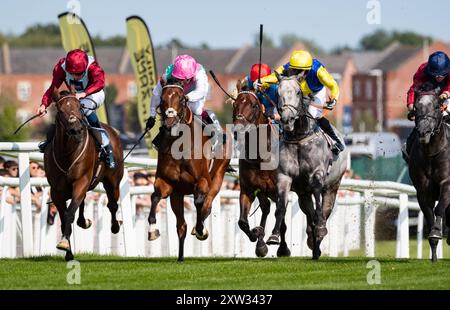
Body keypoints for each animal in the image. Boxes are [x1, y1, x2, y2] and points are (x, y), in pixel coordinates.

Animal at [43, 90, 123, 262]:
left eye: (79, 108)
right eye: (61, 111)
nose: (76, 130)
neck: (67, 154)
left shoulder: (81, 181)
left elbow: (69, 213)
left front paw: (65, 245)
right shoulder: (57, 191)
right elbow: (64, 216)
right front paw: (67, 250)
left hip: (112, 181)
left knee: (112, 204)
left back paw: (115, 226)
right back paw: (84, 221)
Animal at [148, 79, 232, 260]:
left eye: (181, 99)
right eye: (162, 99)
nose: (170, 123)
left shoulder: (203, 181)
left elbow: (200, 202)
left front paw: (200, 229)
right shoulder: (167, 183)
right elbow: (156, 196)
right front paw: (152, 230)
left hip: (218, 177)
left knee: (207, 204)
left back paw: (200, 228)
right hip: (177, 195)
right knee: (182, 225)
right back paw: (180, 257)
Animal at [232, 81, 292, 258]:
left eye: (254, 106)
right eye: (235, 104)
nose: (237, 131)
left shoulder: (279, 190)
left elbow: (281, 217)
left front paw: (281, 246)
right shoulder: (248, 189)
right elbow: (242, 222)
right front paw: (257, 235)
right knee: (265, 208)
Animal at [268, 75, 348, 260]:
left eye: (298, 92)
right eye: (278, 92)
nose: (287, 119)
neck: (299, 138)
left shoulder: (317, 175)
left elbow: (319, 206)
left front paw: (320, 230)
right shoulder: (284, 177)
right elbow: (281, 207)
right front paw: (274, 236)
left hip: (332, 187)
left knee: (324, 211)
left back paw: (319, 235)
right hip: (303, 193)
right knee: (310, 215)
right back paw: (314, 244)